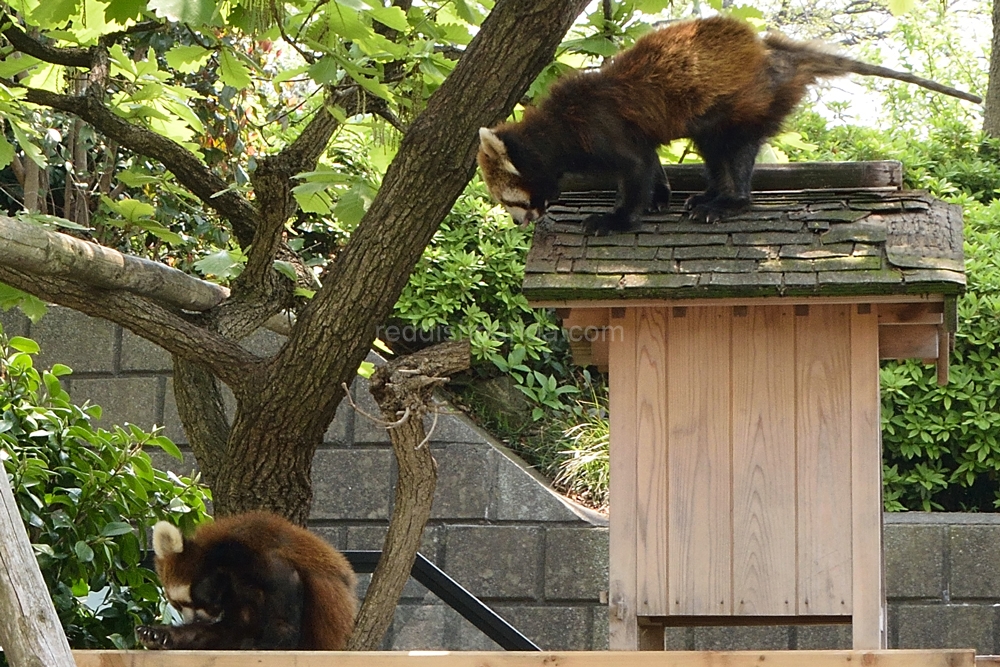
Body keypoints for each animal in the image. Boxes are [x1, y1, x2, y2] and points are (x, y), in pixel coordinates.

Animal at [135, 516, 358, 648]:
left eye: (196, 601)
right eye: (178, 606)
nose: (194, 621)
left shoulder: (272, 564)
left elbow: (283, 627)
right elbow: (228, 630)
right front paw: (158, 634)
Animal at [480, 15, 980, 235]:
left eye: (509, 199)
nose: (520, 222)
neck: (556, 130)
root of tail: (774, 53)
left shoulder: (604, 128)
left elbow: (634, 168)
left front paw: (619, 219)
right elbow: (651, 162)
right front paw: (660, 197)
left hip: (744, 104)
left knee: (733, 154)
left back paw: (727, 203)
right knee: (715, 155)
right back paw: (707, 196)